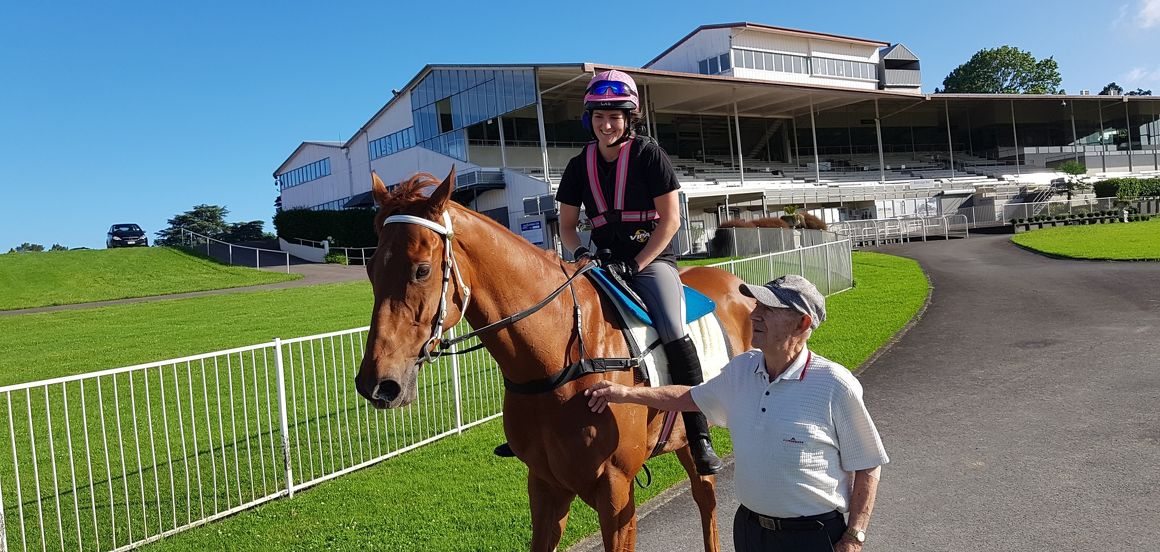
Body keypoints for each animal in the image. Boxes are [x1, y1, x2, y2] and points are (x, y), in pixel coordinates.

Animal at [352, 169, 751, 552]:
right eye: (370, 270)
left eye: (422, 269)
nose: (377, 383)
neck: (561, 359)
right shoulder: (545, 485)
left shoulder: (616, 489)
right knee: (705, 495)